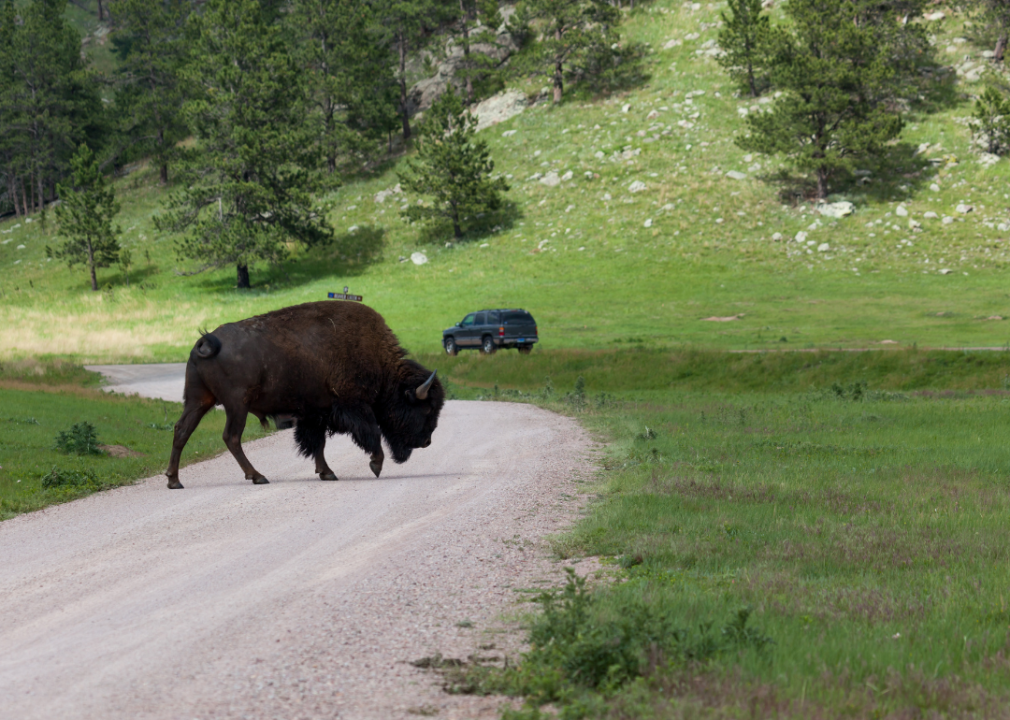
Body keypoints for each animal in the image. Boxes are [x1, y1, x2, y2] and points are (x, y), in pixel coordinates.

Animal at [166, 296, 446, 488]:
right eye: (426, 409)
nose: (427, 441)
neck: (380, 361)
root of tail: (206, 340)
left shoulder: (316, 412)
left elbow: (317, 443)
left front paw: (327, 472)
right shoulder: (352, 406)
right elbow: (371, 433)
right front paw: (375, 465)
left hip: (199, 400)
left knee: (182, 430)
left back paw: (174, 480)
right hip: (237, 405)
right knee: (231, 437)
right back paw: (257, 476)